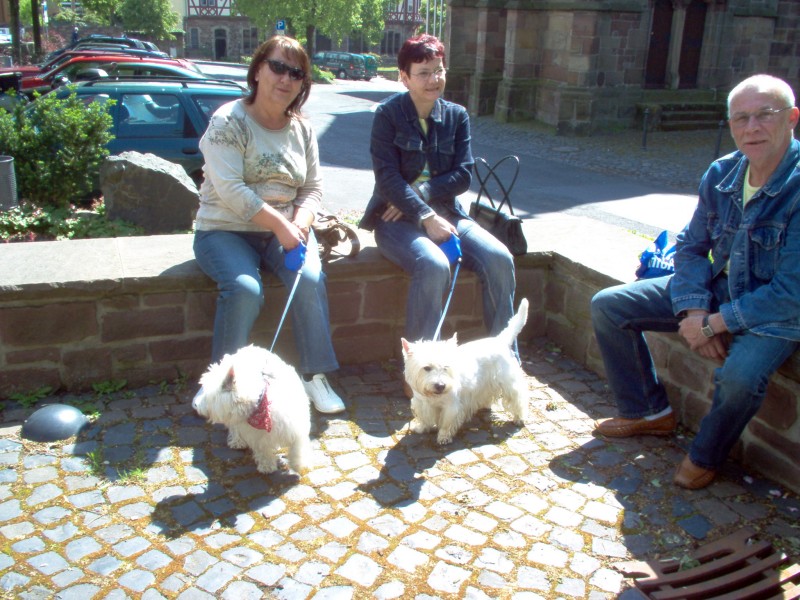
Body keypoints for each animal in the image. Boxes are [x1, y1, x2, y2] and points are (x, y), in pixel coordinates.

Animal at [192, 345, 311, 474]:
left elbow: (297, 448)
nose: (195, 405)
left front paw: (299, 466)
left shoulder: (296, 428)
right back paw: (237, 441)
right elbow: (263, 450)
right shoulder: (257, 436)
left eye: (206, 395)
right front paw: (267, 466)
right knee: (234, 427)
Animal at [401, 298, 529, 445]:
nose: (441, 386)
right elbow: (425, 417)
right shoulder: (421, 403)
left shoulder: (451, 406)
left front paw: (443, 437)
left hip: (508, 382)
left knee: (518, 397)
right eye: (427, 368)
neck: (434, 397)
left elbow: (446, 423)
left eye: (446, 367)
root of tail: (500, 341)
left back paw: (519, 418)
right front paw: (422, 428)